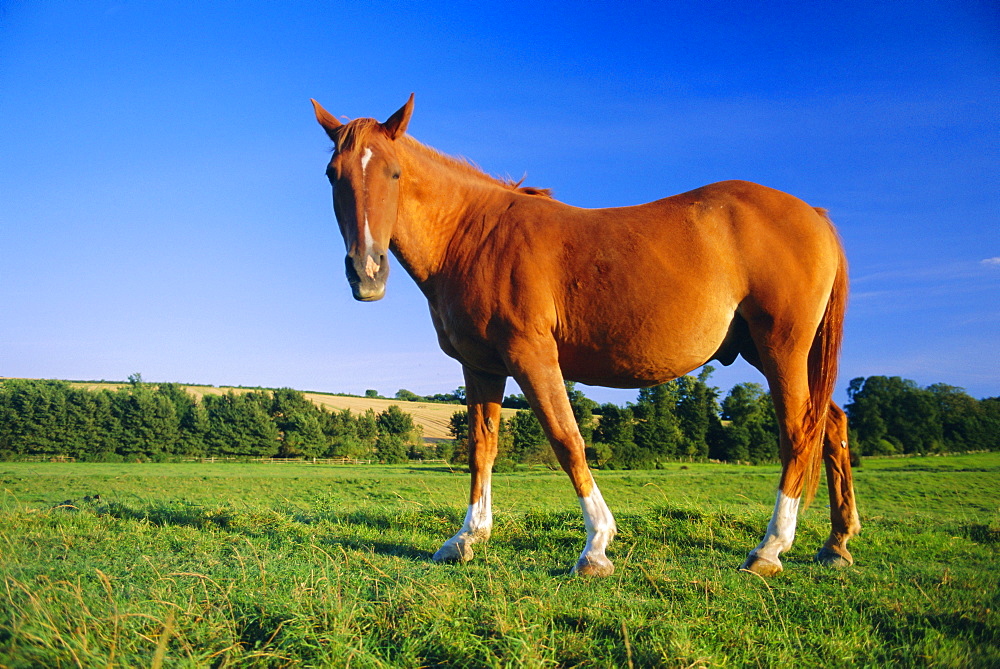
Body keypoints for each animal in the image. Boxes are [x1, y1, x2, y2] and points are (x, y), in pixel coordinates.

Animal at [310, 92, 860, 576]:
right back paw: (836, 544)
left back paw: (769, 549)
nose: (366, 272)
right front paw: (467, 538)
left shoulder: (531, 357)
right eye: (334, 175)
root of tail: (813, 214)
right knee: (831, 424)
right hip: (772, 353)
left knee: (799, 433)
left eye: (395, 173)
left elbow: (566, 439)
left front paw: (596, 546)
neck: (474, 237)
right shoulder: (482, 366)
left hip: (781, 348)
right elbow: (481, 449)